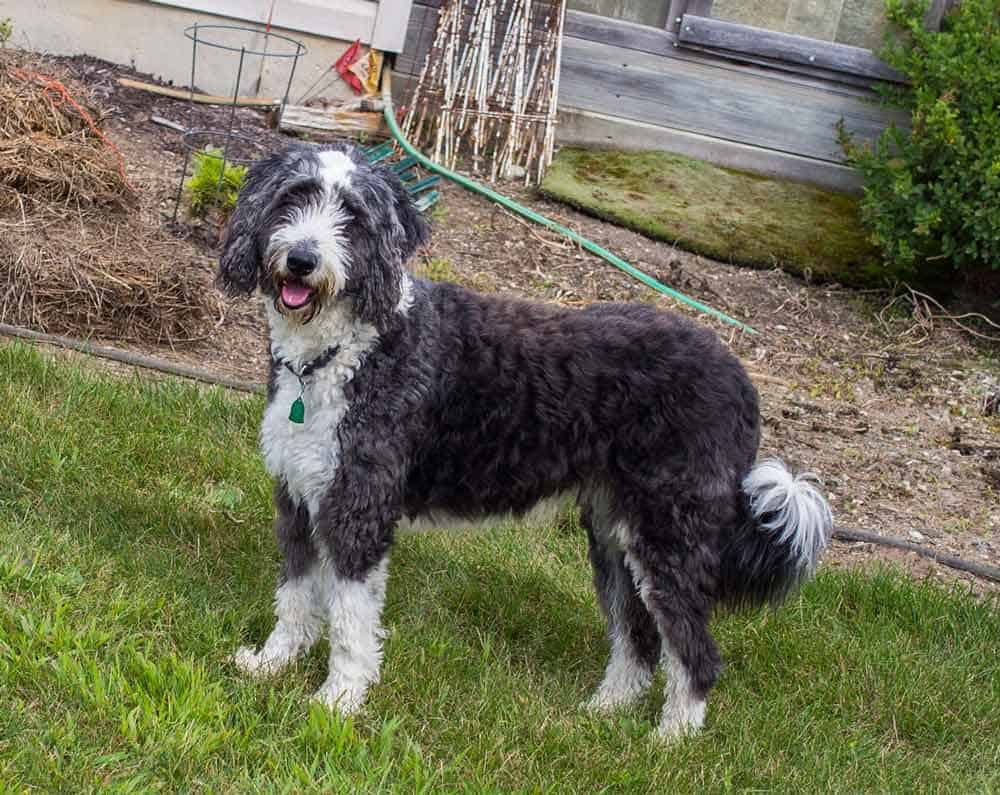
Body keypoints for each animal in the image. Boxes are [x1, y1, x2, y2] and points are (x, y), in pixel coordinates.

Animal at [221, 143, 836, 740]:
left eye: (351, 214)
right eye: (293, 198)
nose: (302, 260)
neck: (343, 352)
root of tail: (742, 380)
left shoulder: (358, 508)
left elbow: (351, 620)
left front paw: (337, 702)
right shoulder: (299, 498)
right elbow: (295, 596)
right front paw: (272, 664)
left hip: (671, 535)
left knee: (695, 651)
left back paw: (671, 740)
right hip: (616, 536)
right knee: (637, 636)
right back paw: (604, 711)